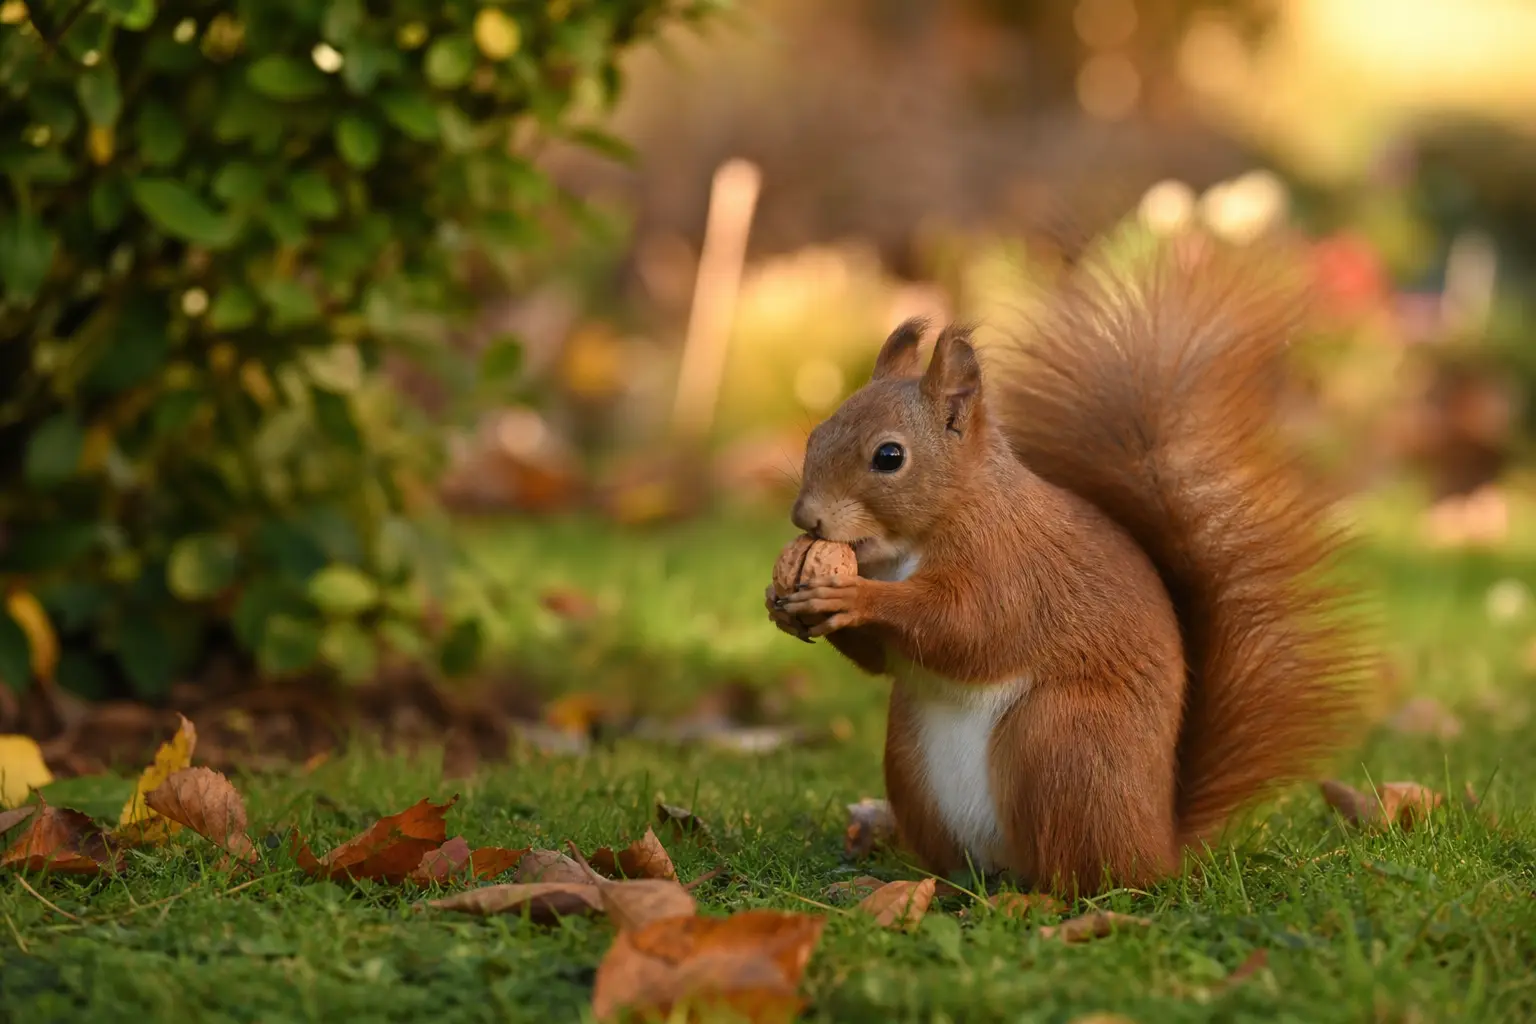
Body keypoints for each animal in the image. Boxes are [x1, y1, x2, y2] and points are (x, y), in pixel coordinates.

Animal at [766, 243, 1368, 896]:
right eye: (816, 434)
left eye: (889, 456)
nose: (805, 516)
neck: (912, 543)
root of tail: (1158, 846)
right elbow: (885, 658)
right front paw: (783, 602)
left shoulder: (1009, 568)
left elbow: (967, 627)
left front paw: (850, 596)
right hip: (912, 755)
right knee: (965, 873)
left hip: (1062, 743)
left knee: (1080, 878)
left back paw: (1034, 904)